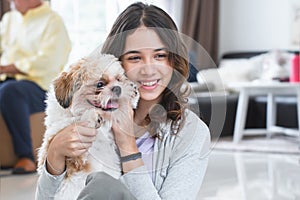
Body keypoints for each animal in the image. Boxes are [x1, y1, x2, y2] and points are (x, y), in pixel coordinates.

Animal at [37, 52, 139, 198]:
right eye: (100, 84)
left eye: (118, 80)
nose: (118, 88)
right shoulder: (73, 156)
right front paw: (92, 116)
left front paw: (133, 94)